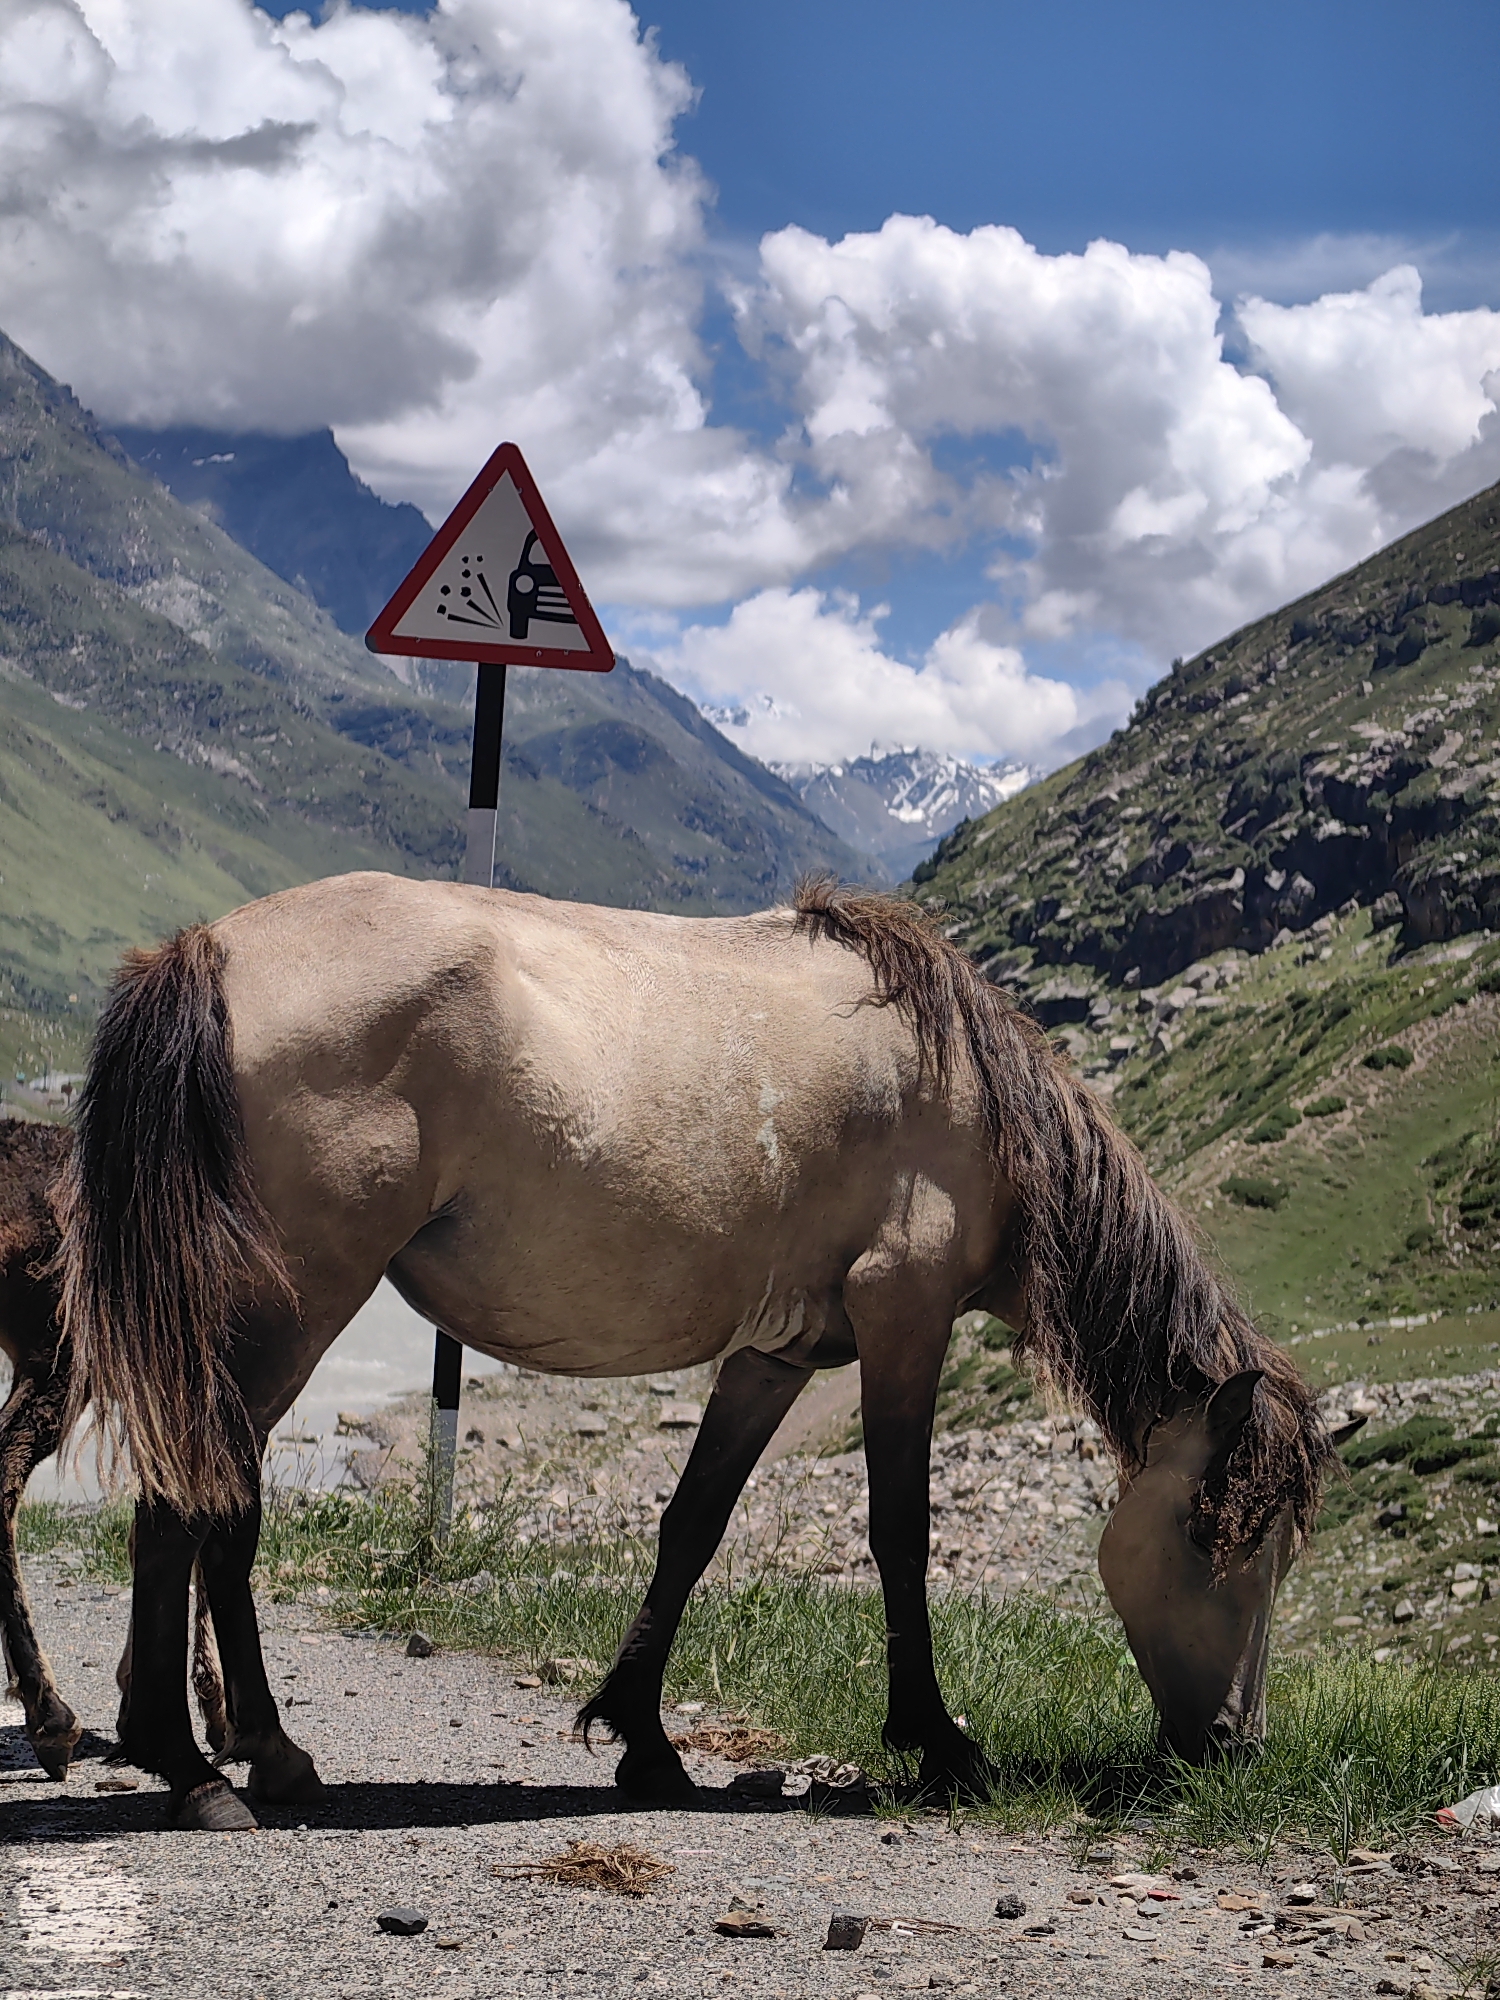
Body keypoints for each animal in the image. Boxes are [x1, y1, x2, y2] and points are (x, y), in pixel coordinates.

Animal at [57, 871, 1334, 1831]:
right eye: (1219, 1534)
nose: (1232, 1743)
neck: (965, 1086)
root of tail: (209, 949)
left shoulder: (776, 1356)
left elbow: (691, 1526)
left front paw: (641, 1735)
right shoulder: (904, 1323)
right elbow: (900, 1533)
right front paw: (936, 1739)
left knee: (198, 1511)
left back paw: (229, 1752)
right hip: (285, 1313)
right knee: (198, 1511)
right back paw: (211, 1764)